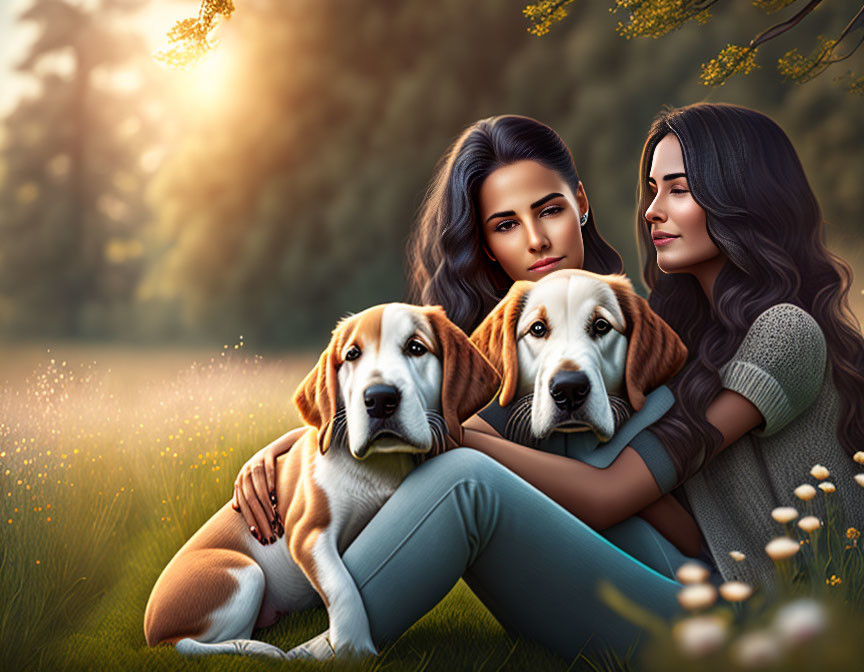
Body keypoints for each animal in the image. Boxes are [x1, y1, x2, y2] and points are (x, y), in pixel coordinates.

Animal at [143, 306, 500, 660]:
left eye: (416, 347)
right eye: (352, 354)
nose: (379, 399)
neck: (379, 466)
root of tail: (151, 632)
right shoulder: (308, 533)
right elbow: (341, 584)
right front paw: (353, 647)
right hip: (243, 573)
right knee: (198, 642)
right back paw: (258, 648)